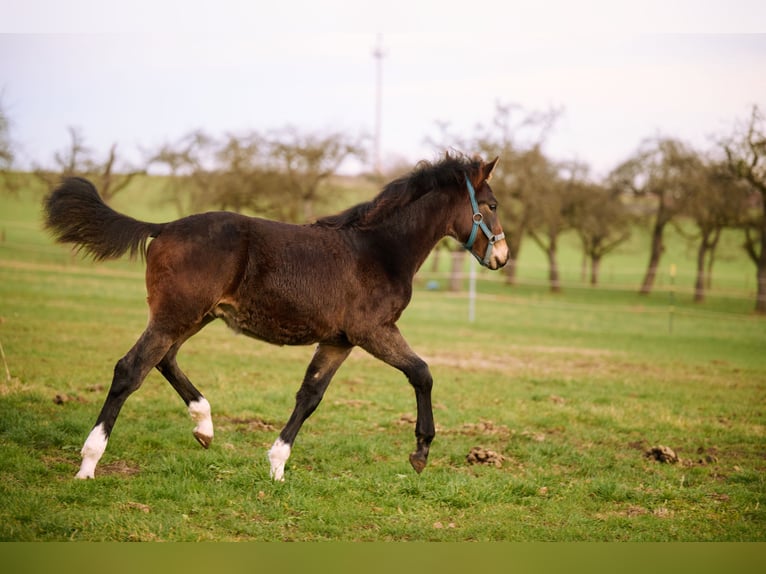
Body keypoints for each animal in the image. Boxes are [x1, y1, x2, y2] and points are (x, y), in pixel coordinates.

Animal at [42, 153, 510, 482]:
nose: (502, 257)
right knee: (130, 369)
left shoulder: (339, 340)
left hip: (193, 316)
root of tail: (165, 227)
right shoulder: (374, 331)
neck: (378, 249)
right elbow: (422, 373)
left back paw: (204, 426)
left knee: (164, 359)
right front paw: (420, 453)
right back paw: (89, 463)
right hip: (177, 314)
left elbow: (310, 396)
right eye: (490, 204)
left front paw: (277, 465)